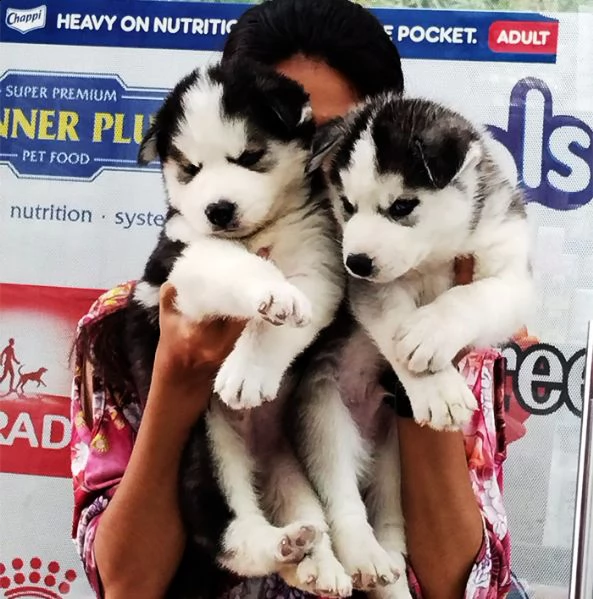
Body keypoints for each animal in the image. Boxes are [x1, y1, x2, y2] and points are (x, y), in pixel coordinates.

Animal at [124, 62, 346, 599]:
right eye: (190, 169)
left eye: (249, 156)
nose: (218, 210)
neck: (258, 233)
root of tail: (256, 456)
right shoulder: (183, 258)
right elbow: (233, 264)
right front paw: (271, 293)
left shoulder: (319, 265)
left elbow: (283, 326)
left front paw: (249, 371)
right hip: (203, 449)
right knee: (227, 531)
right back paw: (277, 545)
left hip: (290, 471)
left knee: (303, 517)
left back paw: (315, 560)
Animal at [292, 94, 532, 599]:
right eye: (346, 205)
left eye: (402, 206)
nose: (357, 261)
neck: (433, 259)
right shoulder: (372, 293)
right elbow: (394, 317)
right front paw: (435, 387)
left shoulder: (510, 269)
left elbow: (474, 296)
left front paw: (432, 331)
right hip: (322, 413)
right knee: (342, 497)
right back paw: (363, 554)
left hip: (393, 463)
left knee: (392, 527)